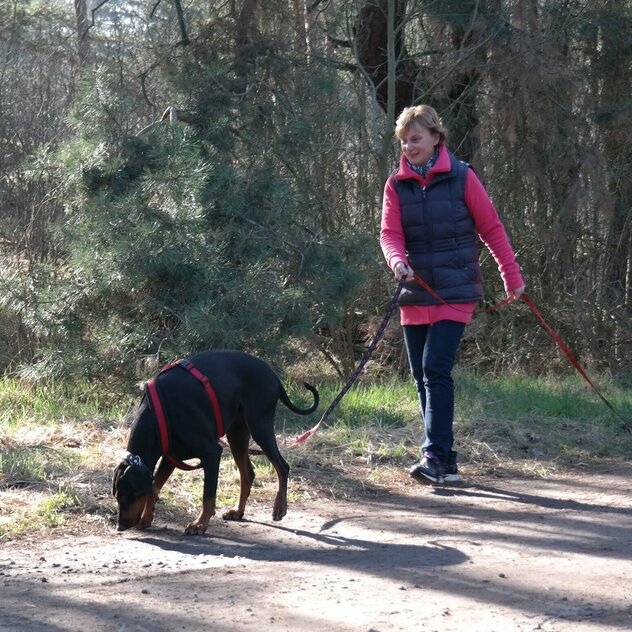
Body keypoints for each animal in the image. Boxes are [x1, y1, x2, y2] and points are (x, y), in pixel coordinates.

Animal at [111, 350, 318, 532]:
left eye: (129, 495)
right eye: (117, 495)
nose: (120, 526)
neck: (158, 415)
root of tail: (273, 374)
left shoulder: (211, 453)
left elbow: (208, 495)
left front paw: (200, 524)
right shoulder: (171, 457)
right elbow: (154, 487)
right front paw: (147, 518)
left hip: (260, 425)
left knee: (282, 466)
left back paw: (279, 508)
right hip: (237, 434)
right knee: (248, 474)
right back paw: (238, 511)